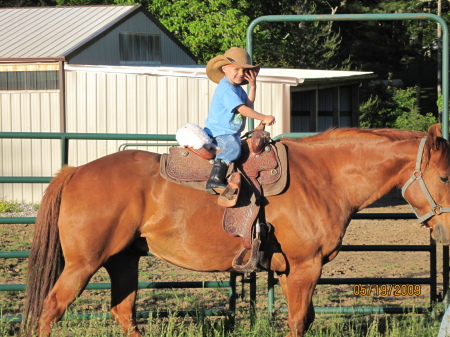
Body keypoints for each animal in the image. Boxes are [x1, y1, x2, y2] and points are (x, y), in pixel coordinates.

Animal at [21, 124, 450, 336]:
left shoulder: (295, 271)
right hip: (83, 263)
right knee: (52, 308)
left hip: (123, 261)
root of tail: (76, 170)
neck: (324, 177)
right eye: (445, 176)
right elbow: (299, 321)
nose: (446, 231)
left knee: (123, 313)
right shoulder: (304, 267)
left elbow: (304, 319)